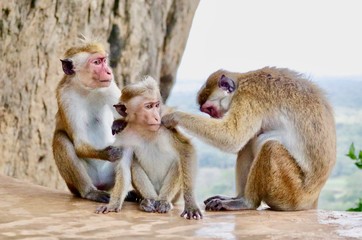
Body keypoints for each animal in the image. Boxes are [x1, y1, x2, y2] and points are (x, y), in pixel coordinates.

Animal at [52, 39, 133, 202]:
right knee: (60, 139)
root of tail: (101, 184)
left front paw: (120, 123)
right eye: (96, 62)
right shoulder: (66, 97)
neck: (86, 89)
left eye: (104, 61)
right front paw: (109, 153)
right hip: (77, 184)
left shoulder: (109, 85)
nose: (109, 71)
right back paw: (89, 192)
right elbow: (80, 144)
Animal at [95, 76, 204, 219]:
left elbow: (185, 148)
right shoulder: (125, 137)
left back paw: (163, 201)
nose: (156, 117)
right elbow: (124, 166)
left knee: (178, 161)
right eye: (148, 106)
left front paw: (191, 204)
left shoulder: (165, 126)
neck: (144, 129)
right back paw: (148, 201)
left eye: (156, 105)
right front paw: (113, 205)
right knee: (133, 163)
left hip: (175, 195)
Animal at [162, 67, 336, 210]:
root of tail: (312, 198)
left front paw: (174, 116)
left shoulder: (248, 98)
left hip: (293, 194)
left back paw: (246, 202)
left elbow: (232, 137)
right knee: (251, 143)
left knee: (269, 147)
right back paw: (237, 197)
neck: (242, 81)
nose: (215, 116)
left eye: (210, 110)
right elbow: (239, 141)